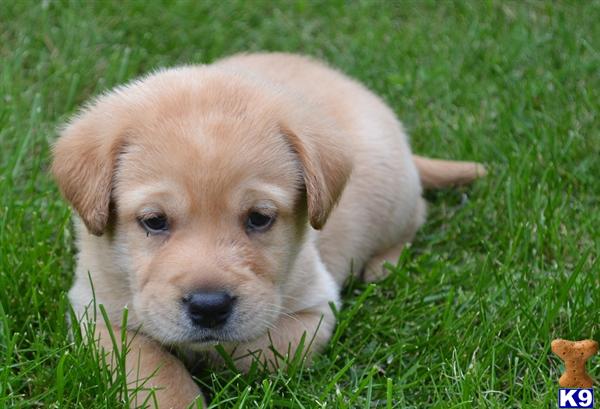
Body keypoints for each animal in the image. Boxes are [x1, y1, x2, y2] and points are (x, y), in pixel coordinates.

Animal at [50, 52, 482, 406]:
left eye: (259, 218)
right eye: (154, 221)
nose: (209, 307)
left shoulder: (314, 310)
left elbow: (251, 351)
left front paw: (207, 357)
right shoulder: (93, 311)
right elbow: (150, 366)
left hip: (394, 197)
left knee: (417, 216)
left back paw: (382, 265)